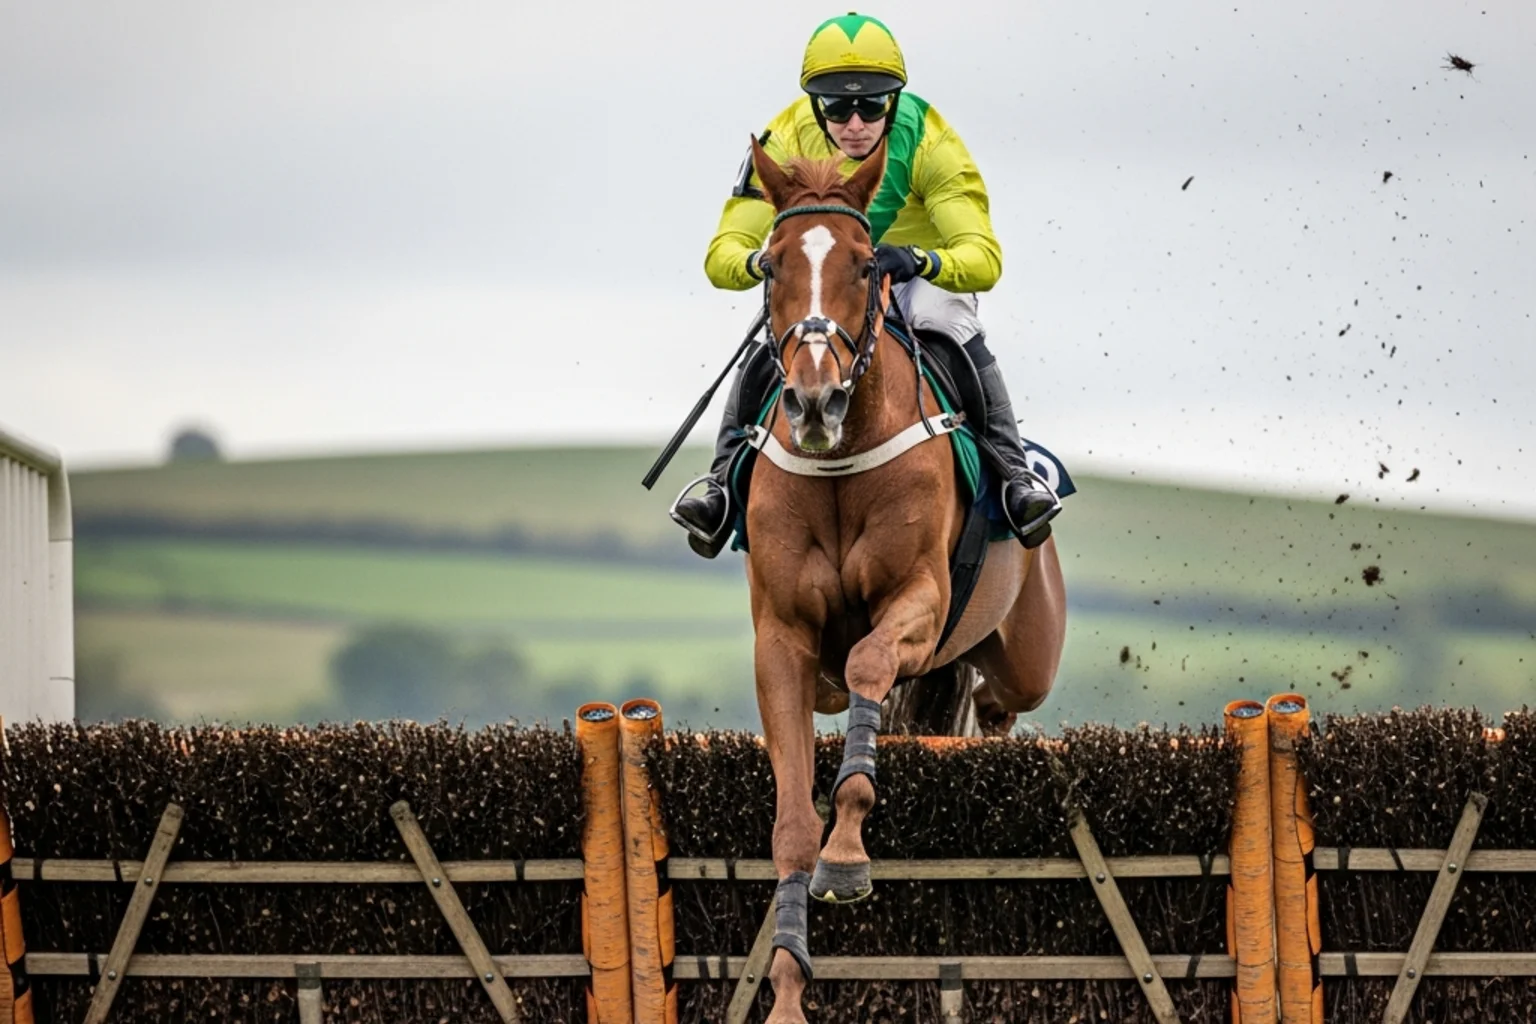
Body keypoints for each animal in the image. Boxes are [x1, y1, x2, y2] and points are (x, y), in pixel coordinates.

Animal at [738, 135, 1068, 1023]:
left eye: (862, 265)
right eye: (770, 264)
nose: (813, 401)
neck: (840, 461)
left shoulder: (917, 602)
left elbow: (867, 662)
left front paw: (848, 851)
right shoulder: (781, 640)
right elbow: (791, 823)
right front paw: (787, 988)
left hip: (1025, 654)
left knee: (995, 702)